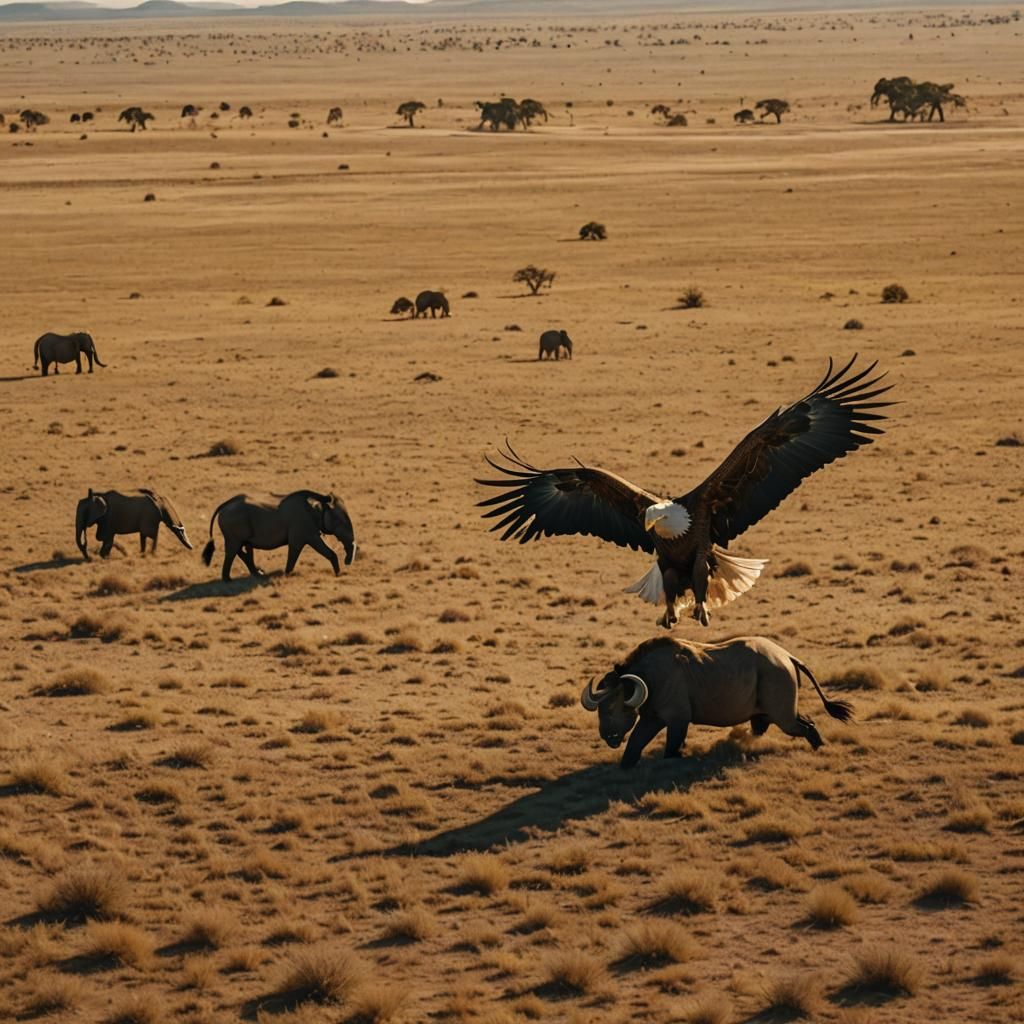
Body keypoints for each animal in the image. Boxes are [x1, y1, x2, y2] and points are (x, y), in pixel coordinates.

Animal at [201, 490, 356, 581]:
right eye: (339, 521)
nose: (347, 562)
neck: (319, 504)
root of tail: (224, 505)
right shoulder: (303, 529)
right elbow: (301, 549)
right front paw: (338, 575)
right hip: (233, 528)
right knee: (233, 550)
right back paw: (228, 579)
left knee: (243, 549)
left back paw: (258, 573)